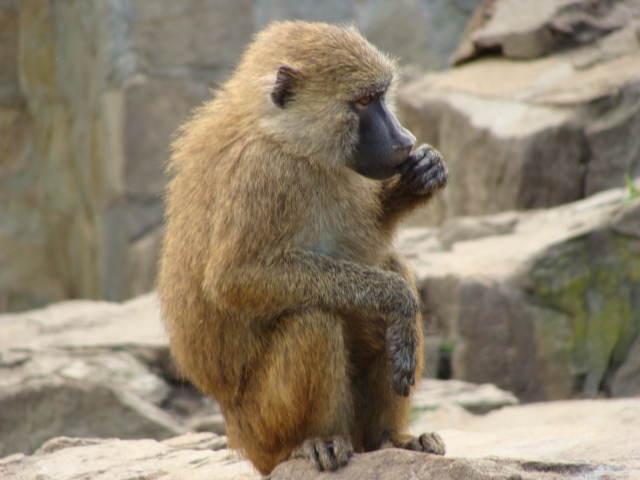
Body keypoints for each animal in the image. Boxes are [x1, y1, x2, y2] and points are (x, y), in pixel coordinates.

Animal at [157, 21, 448, 475]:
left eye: (381, 95)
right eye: (363, 101)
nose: (405, 140)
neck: (285, 135)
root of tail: (236, 432)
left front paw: (422, 173)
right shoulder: (263, 172)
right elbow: (235, 279)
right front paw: (397, 300)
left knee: (390, 266)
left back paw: (391, 438)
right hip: (262, 424)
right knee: (313, 321)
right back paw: (314, 442)